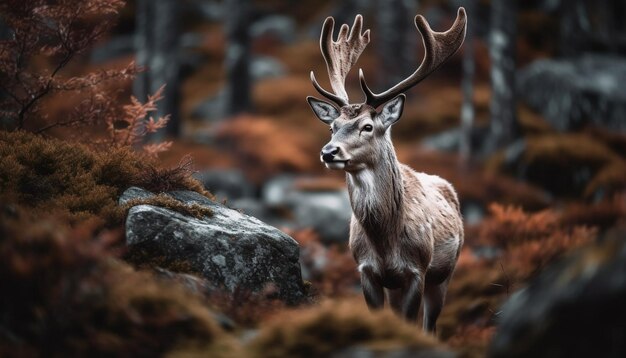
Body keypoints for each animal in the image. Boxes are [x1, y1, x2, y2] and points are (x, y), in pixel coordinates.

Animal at [304, 8, 466, 332]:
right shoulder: (366, 270)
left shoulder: (417, 270)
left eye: (367, 126)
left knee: (431, 324)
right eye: (332, 126)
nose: (329, 152)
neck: (384, 241)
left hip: (446, 272)